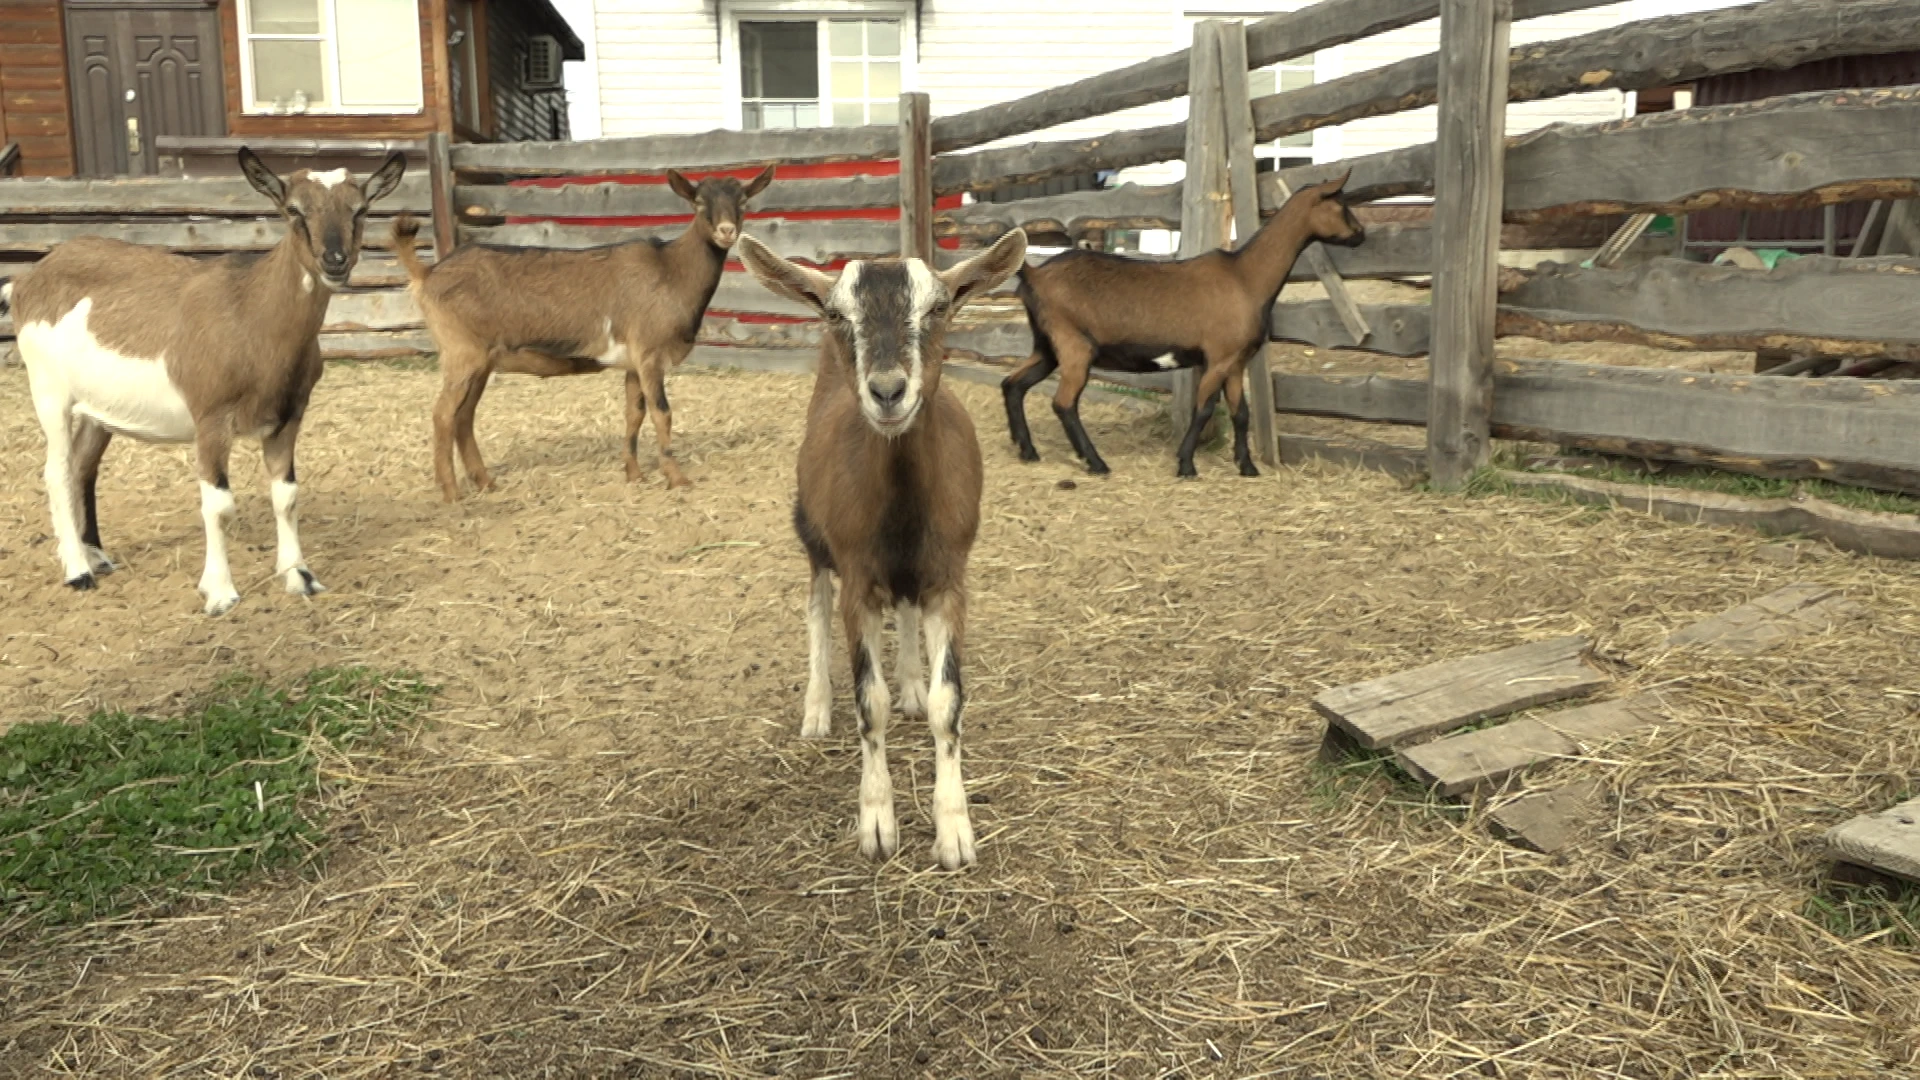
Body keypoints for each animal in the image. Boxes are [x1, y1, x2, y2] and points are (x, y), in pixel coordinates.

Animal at [4, 148, 405, 614]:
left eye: (360, 209)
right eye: (293, 210)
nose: (335, 261)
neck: (250, 313)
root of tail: (26, 279)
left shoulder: (288, 418)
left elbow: (286, 496)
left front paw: (299, 576)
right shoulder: (211, 418)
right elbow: (218, 505)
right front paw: (219, 592)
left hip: (96, 409)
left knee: (84, 467)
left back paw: (96, 555)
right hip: (48, 389)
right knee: (58, 470)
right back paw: (77, 570)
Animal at [389, 165, 771, 499]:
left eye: (743, 201)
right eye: (699, 202)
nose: (726, 231)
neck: (671, 270)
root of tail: (427, 273)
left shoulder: (633, 360)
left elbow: (634, 413)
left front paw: (634, 475)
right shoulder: (650, 353)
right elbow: (662, 413)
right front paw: (677, 479)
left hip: (481, 361)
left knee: (463, 417)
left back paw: (486, 483)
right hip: (462, 353)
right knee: (443, 415)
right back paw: (452, 494)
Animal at [737, 224, 1036, 864]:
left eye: (939, 307)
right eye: (836, 313)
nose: (889, 391)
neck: (901, 503)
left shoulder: (948, 577)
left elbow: (949, 704)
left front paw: (954, 829)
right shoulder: (858, 579)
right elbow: (867, 702)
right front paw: (876, 821)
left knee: (906, 611)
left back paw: (911, 687)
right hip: (813, 536)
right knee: (815, 606)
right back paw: (816, 710)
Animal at [1006, 171, 1367, 474]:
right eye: (1341, 205)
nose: (1361, 235)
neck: (1246, 277)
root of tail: (1034, 274)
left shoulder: (1235, 362)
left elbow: (1241, 413)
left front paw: (1247, 467)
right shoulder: (1218, 358)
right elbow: (1204, 409)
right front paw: (1186, 464)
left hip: (1047, 345)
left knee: (1013, 384)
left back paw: (1028, 451)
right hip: (1074, 345)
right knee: (1064, 403)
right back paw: (1095, 462)